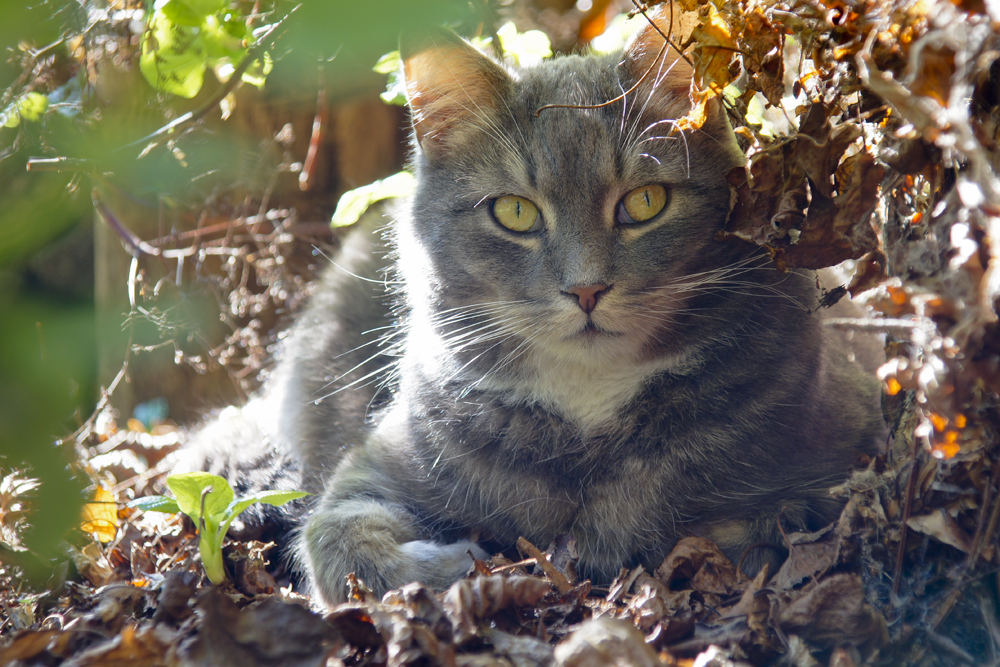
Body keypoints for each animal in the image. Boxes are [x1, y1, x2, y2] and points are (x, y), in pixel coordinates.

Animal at [180, 6, 884, 612]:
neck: (590, 403)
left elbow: (761, 526)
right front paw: (454, 567)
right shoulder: (379, 465)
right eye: (515, 212)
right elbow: (334, 534)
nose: (586, 289)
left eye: (646, 202)